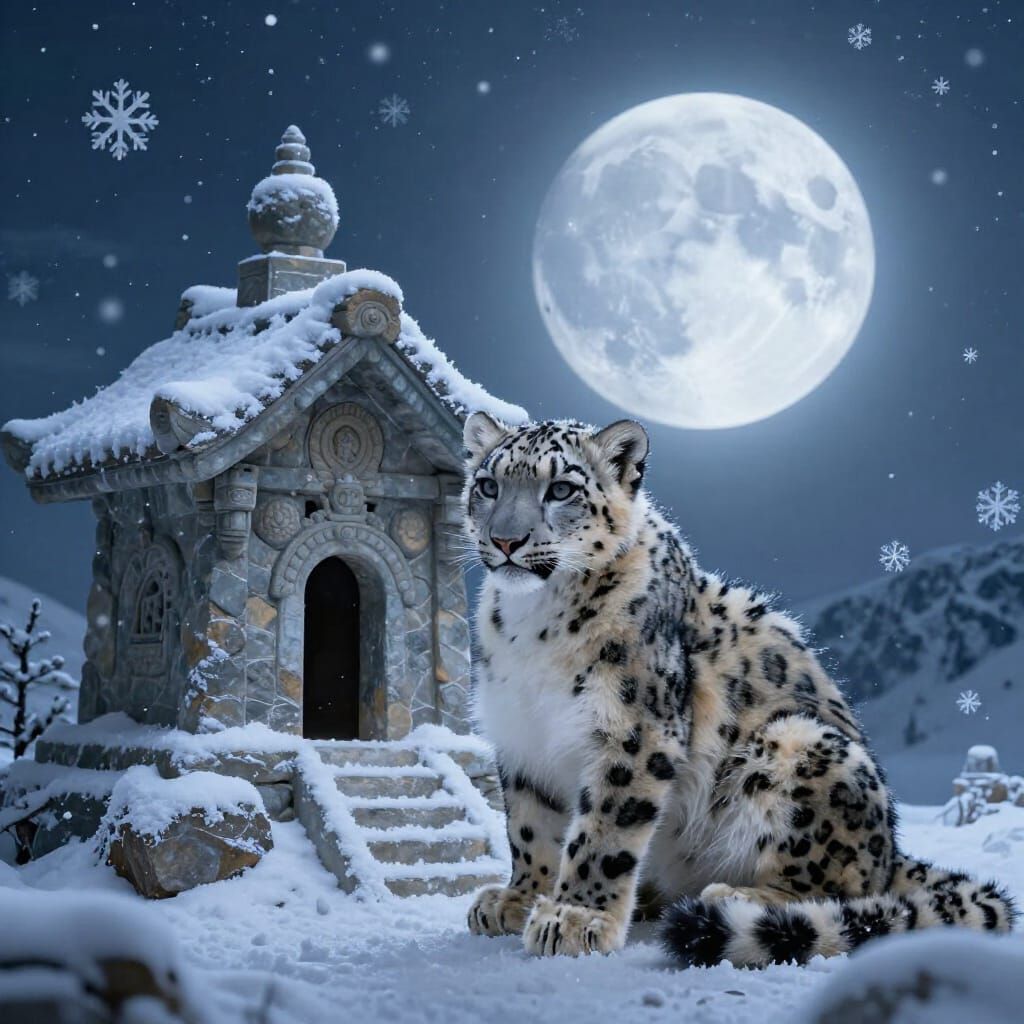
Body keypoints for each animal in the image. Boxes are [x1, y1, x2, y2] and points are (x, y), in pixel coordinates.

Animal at [460, 412, 1016, 967]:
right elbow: (530, 825)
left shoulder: (634, 732)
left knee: (839, 889)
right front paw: (521, 897)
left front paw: (577, 917)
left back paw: (734, 896)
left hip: (797, 744)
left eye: (561, 489)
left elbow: (603, 832)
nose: (506, 540)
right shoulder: (521, 735)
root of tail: (893, 850)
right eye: (488, 485)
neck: (533, 624)